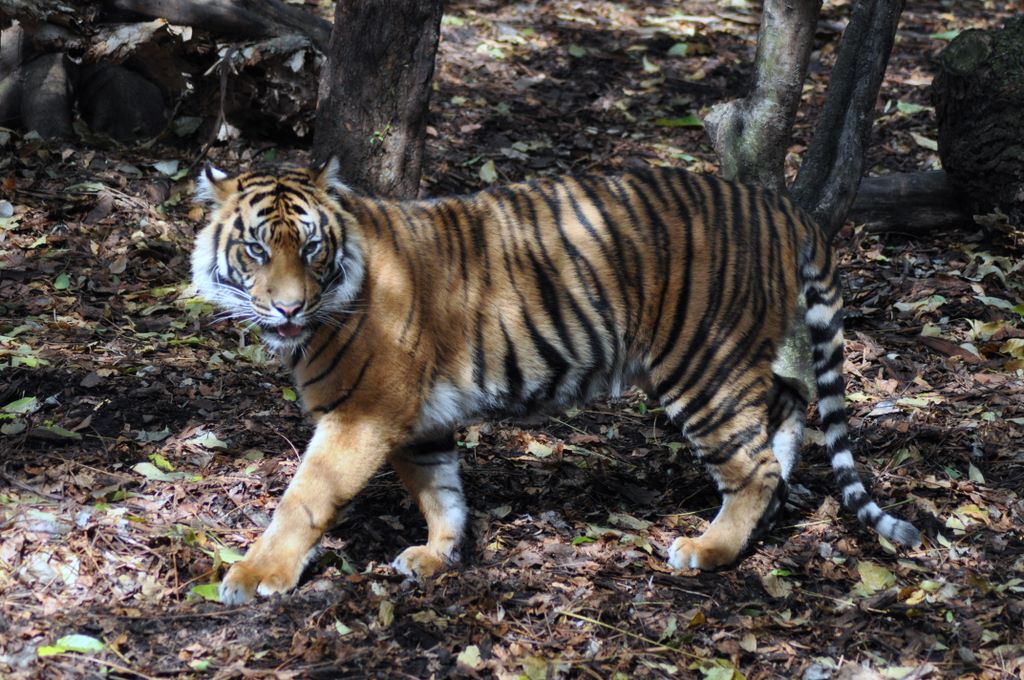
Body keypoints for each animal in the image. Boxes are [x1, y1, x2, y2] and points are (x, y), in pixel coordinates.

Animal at [190, 159, 920, 605]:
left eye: (311, 249)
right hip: (743, 358)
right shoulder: (421, 423)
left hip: (702, 366)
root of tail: (784, 208)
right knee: (788, 410)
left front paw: (257, 574)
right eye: (256, 250)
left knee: (755, 463)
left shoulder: (363, 415)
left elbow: (304, 498)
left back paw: (708, 547)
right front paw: (439, 555)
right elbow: (439, 490)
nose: (289, 308)